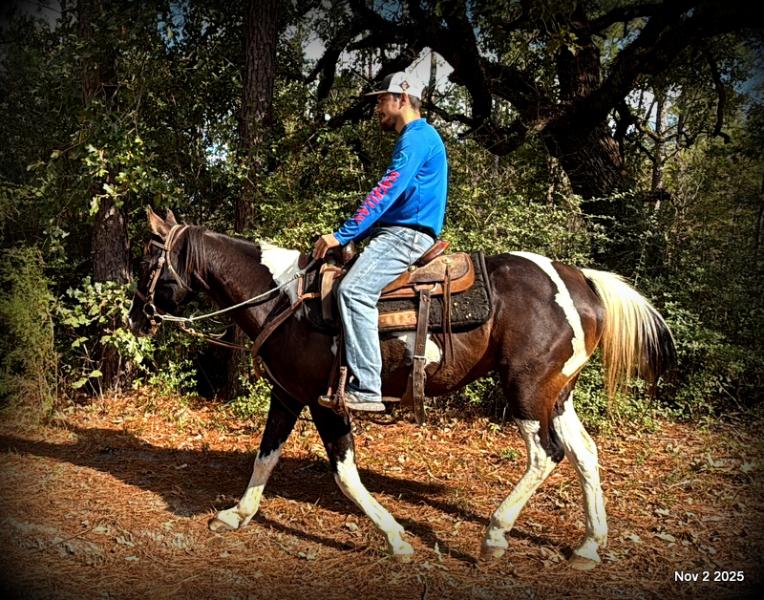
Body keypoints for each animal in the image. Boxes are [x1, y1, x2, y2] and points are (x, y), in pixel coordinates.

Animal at [128, 208, 675, 570]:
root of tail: (579, 280)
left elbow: (344, 474)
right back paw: (589, 545)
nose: (136, 318)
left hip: (525, 388)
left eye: (146, 264)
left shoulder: (326, 401)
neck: (285, 299)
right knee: (585, 453)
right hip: (556, 394)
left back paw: (495, 536)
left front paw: (396, 539)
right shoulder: (288, 395)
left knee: (547, 454)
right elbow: (265, 456)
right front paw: (237, 515)